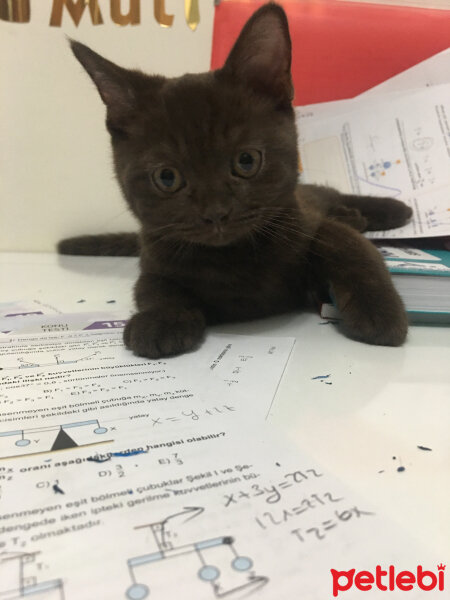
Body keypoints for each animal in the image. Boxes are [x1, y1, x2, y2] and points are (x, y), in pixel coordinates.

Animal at [59, 2, 412, 358]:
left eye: (246, 161)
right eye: (167, 177)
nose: (215, 213)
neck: (232, 259)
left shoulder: (305, 221)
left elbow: (345, 243)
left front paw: (381, 313)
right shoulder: (154, 258)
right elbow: (153, 288)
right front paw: (160, 320)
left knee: (333, 198)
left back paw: (390, 210)